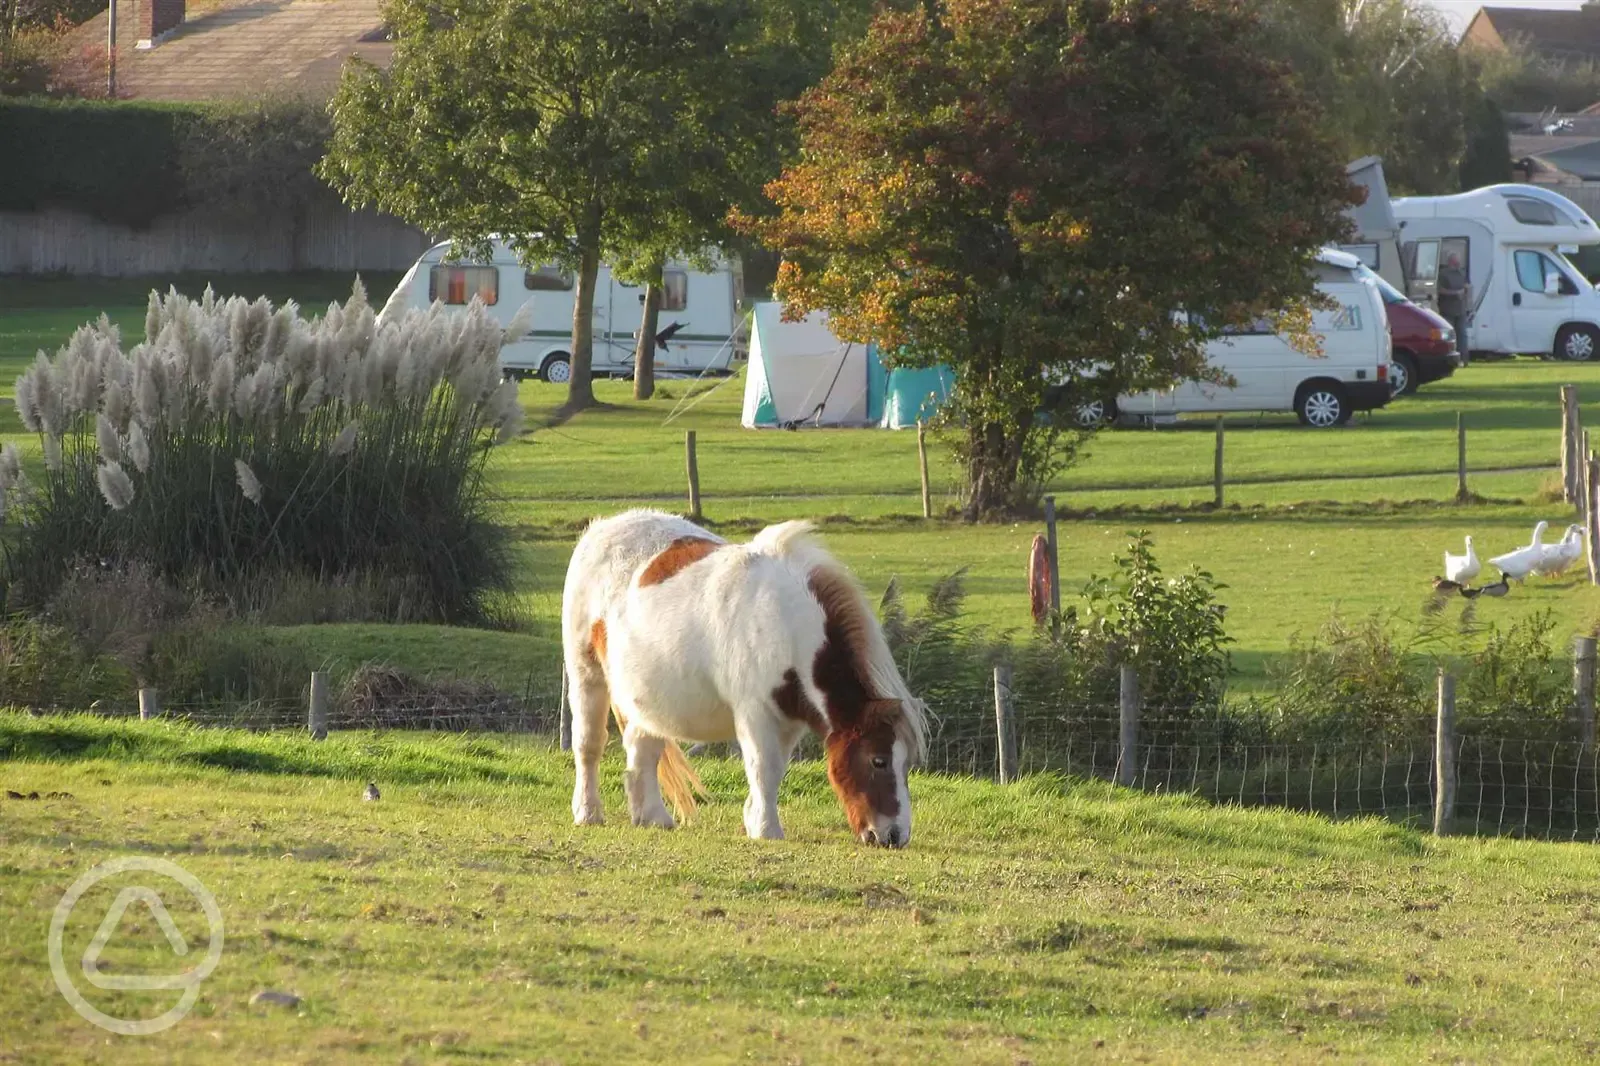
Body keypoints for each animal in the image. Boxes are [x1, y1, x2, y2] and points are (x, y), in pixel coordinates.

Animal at [563, 505, 934, 845]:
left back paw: (653, 817)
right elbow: (762, 767)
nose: (894, 835)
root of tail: (601, 528)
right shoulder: (755, 713)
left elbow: (774, 770)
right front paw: (767, 829)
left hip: (646, 696)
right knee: (589, 744)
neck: (787, 624)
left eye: (906, 764)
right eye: (878, 760)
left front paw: (755, 820)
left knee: (643, 751)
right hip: (586, 675)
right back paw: (588, 812)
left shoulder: (788, 720)